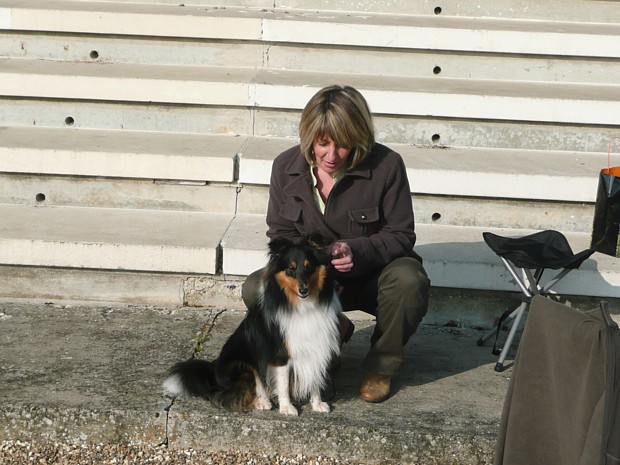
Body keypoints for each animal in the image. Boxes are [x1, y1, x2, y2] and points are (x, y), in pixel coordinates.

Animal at [162, 234, 342, 416]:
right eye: (290, 269)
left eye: (308, 267)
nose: (303, 290)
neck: (301, 305)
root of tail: (212, 371)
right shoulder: (280, 353)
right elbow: (283, 384)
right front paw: (286, 408)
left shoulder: (317, 346)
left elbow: (315, 379)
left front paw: (318, 404)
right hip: (244, 365)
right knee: (229, 395)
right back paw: (262, 402)